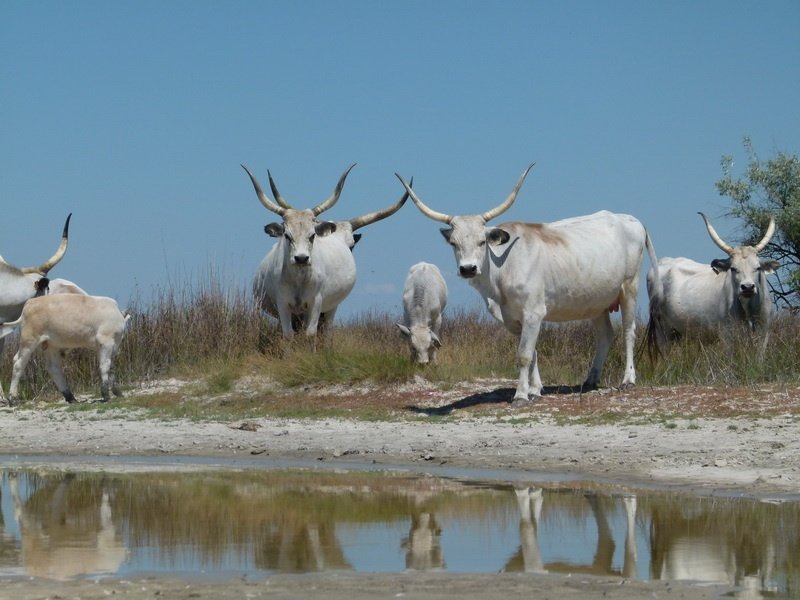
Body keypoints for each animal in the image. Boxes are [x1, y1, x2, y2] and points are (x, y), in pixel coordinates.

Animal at [1, 292, 130, 406]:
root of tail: (30, 303)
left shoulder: (112, 346)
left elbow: (111, 368)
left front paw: (117, 392)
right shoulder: (105, 342)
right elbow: (105, 367)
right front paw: (106, 395)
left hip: (51, 345)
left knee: (53, 368)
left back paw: (70, 397)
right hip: (29, 339)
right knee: (18, 363)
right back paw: (12, 399)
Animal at [242, 163, 406, 338]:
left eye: (312, 235)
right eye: (287, 235)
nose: (301, 258)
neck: (299, 278)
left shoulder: (316, 303)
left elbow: (310, 333)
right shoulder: (282, 304)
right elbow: (288, 333)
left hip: (330, 308)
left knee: (326, 331)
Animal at [398, 166, 656, 406]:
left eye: (482, 241)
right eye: (453, 243)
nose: (468, 268)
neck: (502, 275)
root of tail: (629, 219)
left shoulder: (534, 312)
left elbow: (523, 355)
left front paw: (521, 395)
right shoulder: (513, 319)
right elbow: (532, 352)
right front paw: (535, 390)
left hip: (629, 288)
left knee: (628, 331)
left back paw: (628, 380)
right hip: (597, 301)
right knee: (605, 336)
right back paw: (591, 379)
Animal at [648, 214, 780, 358]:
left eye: (758, 267)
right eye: (733, 268)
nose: (748, 287)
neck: (749, 309)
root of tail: (662, 261)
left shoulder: (764, 332)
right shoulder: (727, 335)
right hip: (662, 331)